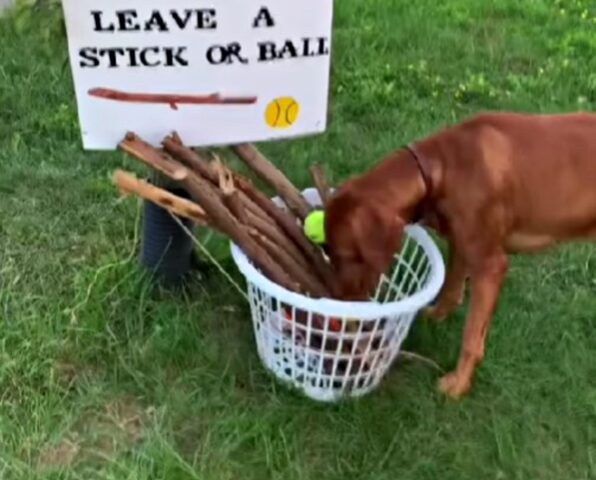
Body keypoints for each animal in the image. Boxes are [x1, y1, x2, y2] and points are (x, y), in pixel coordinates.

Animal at [324, 111, 596, 398]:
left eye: (346, 255)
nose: (337, 299)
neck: (441, 168)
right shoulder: (462, 244)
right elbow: (451, 290)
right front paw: (435, 316)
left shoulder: (490, 265)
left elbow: (471, 338)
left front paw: (458, 384)